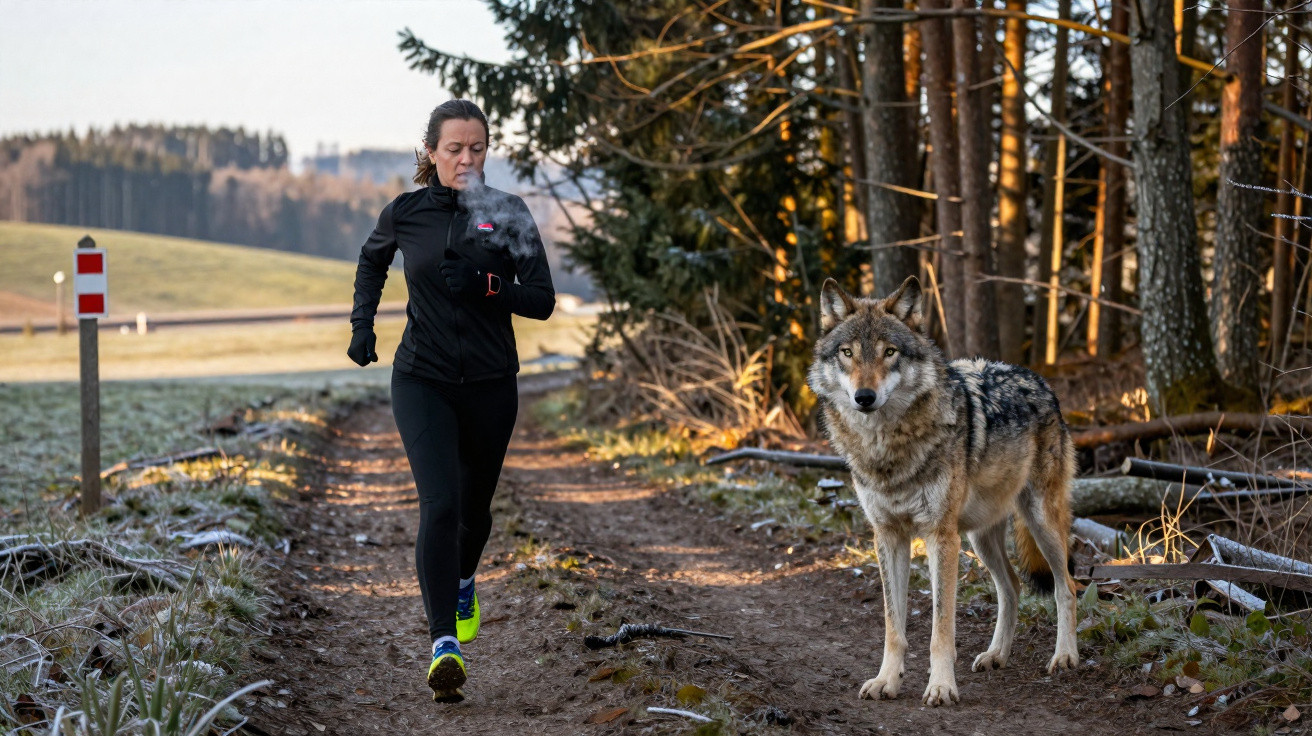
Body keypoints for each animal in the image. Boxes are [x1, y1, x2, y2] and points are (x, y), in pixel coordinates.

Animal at [808, 276, 1079, 707]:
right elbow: (893, 626)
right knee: (1012, 587)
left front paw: (941, 687)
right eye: (848, 353)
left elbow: (941, 629)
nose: (864, 397)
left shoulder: (940, 537)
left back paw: (1065, 656)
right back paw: (996, 655)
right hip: (980, 537)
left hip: (1040, 523)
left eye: (889, 352)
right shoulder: (888, 536)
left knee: (1066, 587)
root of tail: (1039, 380)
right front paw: (887, 680)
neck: (887, 449)